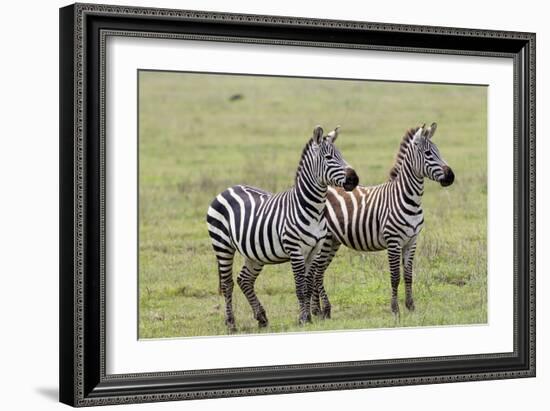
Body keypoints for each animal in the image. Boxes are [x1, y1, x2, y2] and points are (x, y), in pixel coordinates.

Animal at [206, 125, 358, 332]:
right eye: (329, 158)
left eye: (341, 155)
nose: (354, 179)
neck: (314, 209)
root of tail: (227, 189)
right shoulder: (295, 250)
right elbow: (300, 288)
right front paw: (303, 319)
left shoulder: (314, 250)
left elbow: (308, 285)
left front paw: (308, 318)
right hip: (222, 245)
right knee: (228, 283)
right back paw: (231, 324)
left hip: (254, 253)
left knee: (244, 280)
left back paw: (262, 318)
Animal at [310, 124, 458, 320]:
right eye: (428, 153)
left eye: (438, 151)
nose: (451, 176)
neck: (409, 198)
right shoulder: (393, 241)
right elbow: (395, 276)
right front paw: (395, 310)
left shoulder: (411, 241)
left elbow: (409, 275)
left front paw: (411, 307)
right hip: (325, 241)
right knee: (315, 272)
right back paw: (320, 311)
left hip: (333, 241)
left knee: (317, 273)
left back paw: (318, 311)